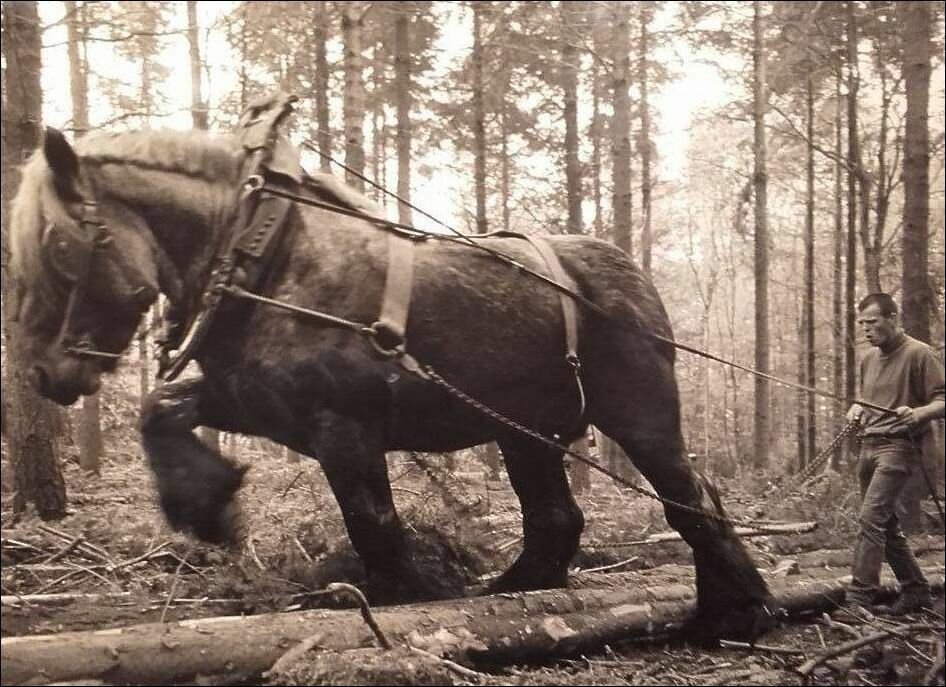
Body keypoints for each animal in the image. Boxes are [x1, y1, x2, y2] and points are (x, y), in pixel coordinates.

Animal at [11, 125, 772, 640]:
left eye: (57, 246)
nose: (45, 373)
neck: (269, 261)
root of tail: (627, 271)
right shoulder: (264, 405)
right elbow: (159, 407)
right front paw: (207, 503)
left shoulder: (343, 426)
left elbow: (372, 522)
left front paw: (407, 597)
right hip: (525, 432)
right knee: (557, 514)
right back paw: (523, 591)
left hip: (641, 416)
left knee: (691, 498)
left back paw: (737, 611)